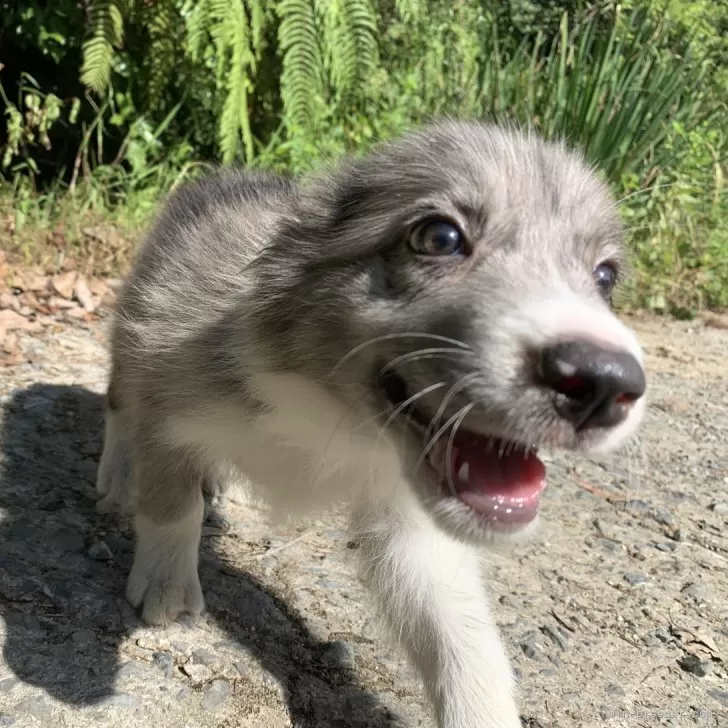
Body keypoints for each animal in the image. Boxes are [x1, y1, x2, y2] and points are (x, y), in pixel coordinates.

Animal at [98, 121, 648, 728]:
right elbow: (174, 506)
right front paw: (167, 587)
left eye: (605, 277)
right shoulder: (169, 396)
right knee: (120, 402)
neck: (334, 412)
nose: (606, 384)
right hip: (132, 332)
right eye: (439, 237)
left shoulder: (411, 520)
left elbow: (462, 638)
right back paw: (119, 476)